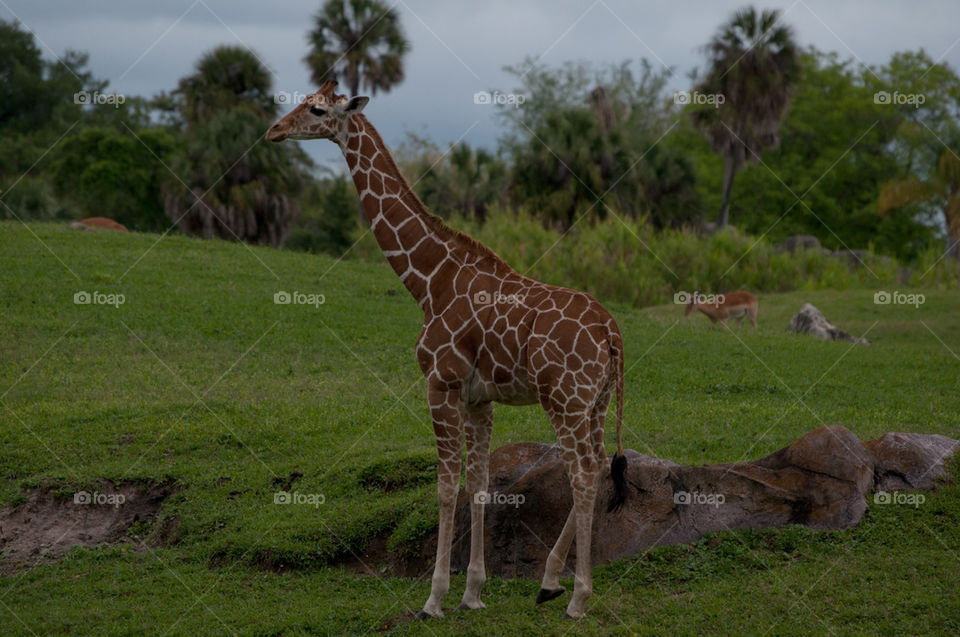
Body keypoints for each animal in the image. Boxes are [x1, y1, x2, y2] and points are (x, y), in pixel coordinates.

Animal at [266, 82, 628, 620]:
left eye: (315, 109)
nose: (274, 131)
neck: (427, 280)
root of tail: (611, 332)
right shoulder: (478, 397)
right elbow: (477, 482)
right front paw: (472, 592)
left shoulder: (440, 381)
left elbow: (444, 484)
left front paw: (433, 598)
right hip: (596, 401)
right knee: (601, 465)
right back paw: (549, 583)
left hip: (563, 398)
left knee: (582, 472)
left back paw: (577, 597)